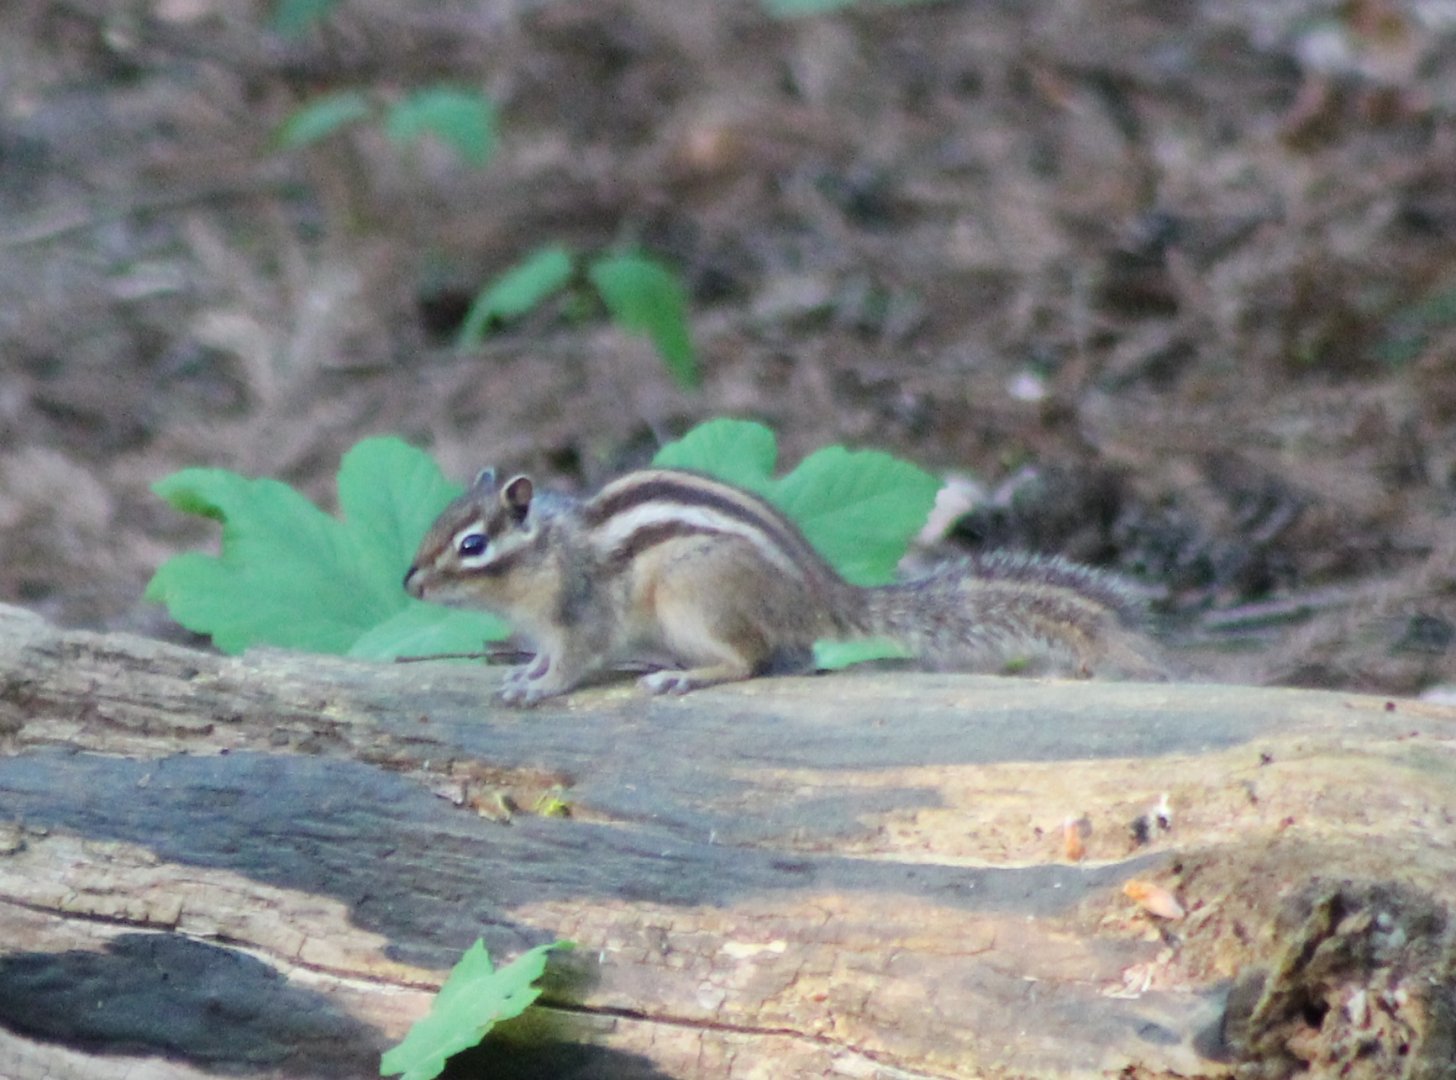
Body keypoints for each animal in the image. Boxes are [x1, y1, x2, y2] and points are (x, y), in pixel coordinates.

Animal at [403, 467, 1164, 705]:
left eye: (472, 545)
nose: (408, 582)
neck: (549, 552)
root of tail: (820, 595)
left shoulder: (582, 614)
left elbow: (572, 662)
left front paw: (538, 688)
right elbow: (542, 654)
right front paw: (521, 673)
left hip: (693, 594)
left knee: (747, 661)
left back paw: (683, 676)